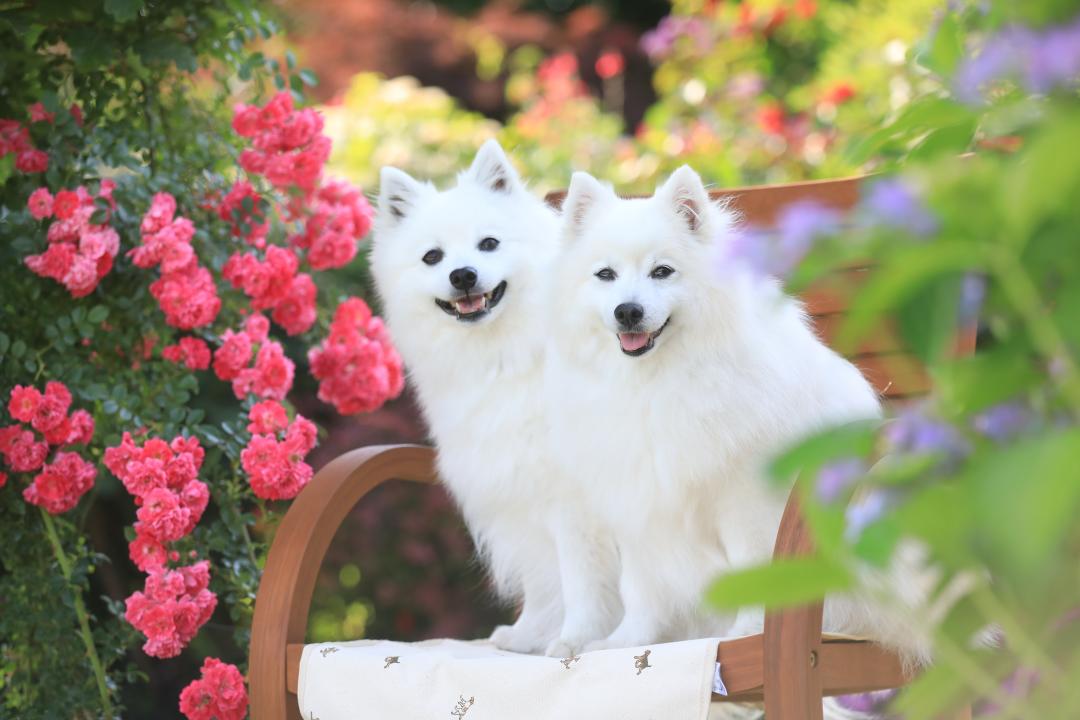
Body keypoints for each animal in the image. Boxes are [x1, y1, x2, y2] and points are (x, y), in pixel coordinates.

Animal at [367, 142, 617, 660]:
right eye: (432, 257)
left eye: (488, 244)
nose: (463, 275)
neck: (505, 356)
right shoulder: (521, 494)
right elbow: (545, 582)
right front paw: (528, 636)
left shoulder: (573, 502)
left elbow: (580, 578)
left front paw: (574, 639)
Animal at [544, 166, 933, 669]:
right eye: (605, 275)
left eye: (662, 271)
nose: (627, 310)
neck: (655, 386)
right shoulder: (640, 507)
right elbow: (641, 588)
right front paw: (624, 641)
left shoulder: (746, 501)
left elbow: (753, 567)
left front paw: (749, 631)